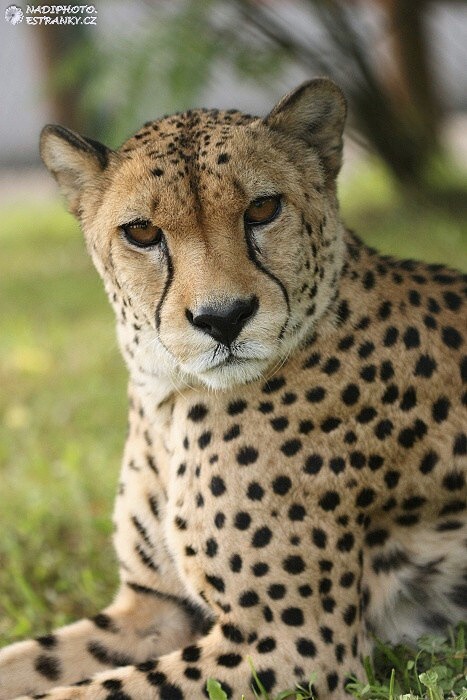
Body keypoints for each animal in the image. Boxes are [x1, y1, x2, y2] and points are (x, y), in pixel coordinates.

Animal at [0, 79, 467, 696]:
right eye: (142, 231)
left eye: (263, 208)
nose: (223, 319)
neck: (171, 398)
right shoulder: (153, 607)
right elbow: (28, 662)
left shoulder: (293, 644)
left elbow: (89, 690)